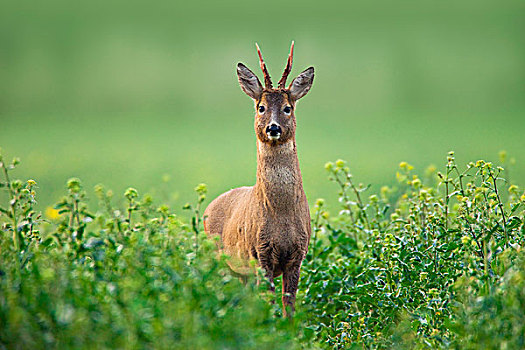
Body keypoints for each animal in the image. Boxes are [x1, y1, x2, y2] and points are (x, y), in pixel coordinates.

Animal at [203, 41, 314, 318]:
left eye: (288, 108)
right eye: (261, 107)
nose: (273, 128)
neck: (281, 215)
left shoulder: (297, 255)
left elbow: (289, 304)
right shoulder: (259, 253)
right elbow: (271, 302)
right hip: (220, 259)